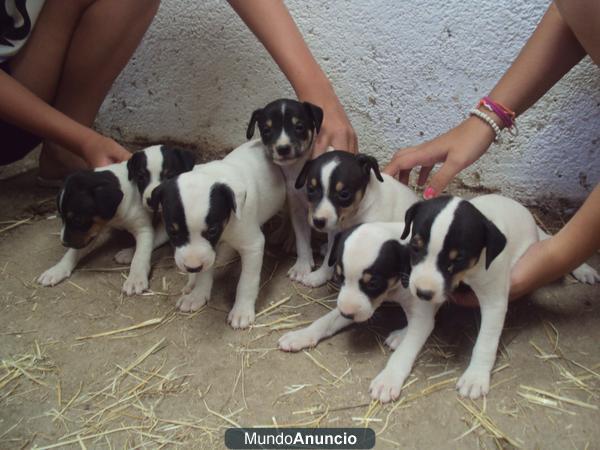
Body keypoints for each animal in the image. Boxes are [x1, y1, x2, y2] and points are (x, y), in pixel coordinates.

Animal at [154, 140, 288, 326]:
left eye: (213, 230)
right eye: (172, 231)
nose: (192, 267)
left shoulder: (253, 245)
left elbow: (247, 281)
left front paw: (242, 311)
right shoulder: (207, 252)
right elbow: (204, 272)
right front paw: (197, 295)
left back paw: (284, 236)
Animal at [246, 100, 324, 284]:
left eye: (299, 126)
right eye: (267, 130)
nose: (283, 148)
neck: (298, 170)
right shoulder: (296, 207)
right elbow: (302, 240)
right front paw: (302, 267)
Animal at [294, 150, 418, 284]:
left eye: (344, 194)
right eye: (310, 189)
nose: (318, 221)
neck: (353, 216)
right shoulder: (335, 234)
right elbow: (329, 258)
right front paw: (320, 276)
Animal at [400, 195, 596, 400]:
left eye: (459, 259)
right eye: (415, 246)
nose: (423, 293)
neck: (468, 274)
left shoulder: (494, 302)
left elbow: (486, 341)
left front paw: (475, 377)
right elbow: (419, 325)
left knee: (553, 239)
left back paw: (584, 269)